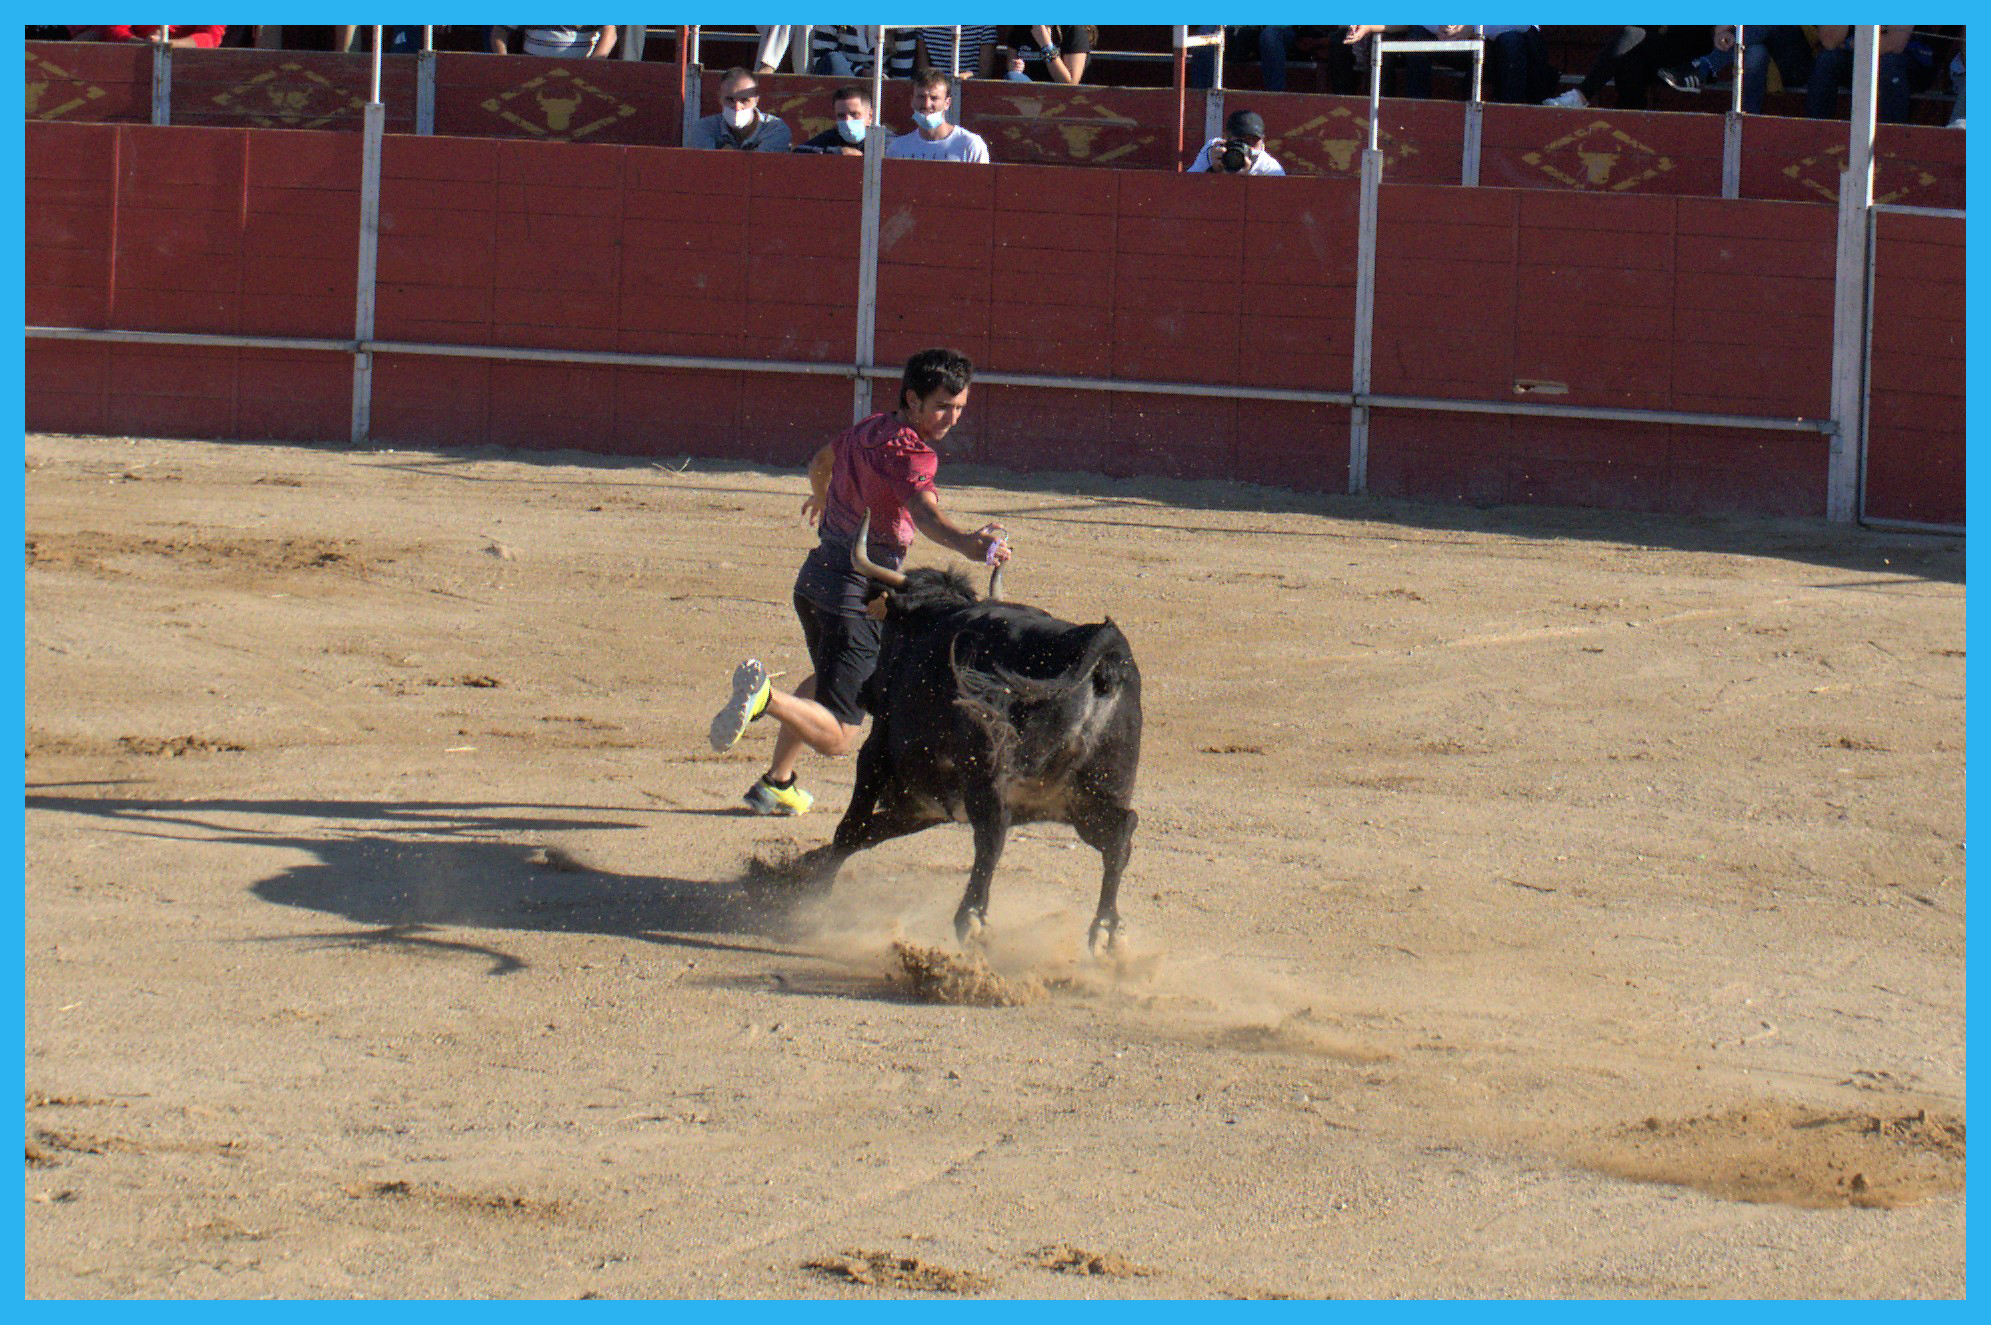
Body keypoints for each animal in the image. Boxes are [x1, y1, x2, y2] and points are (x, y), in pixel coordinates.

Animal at [805, 514, 1143, 955]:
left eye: (891, 629)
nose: (866, 692)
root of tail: (1102, 647)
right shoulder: (927, 803)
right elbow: (871, 832)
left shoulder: (877, 755)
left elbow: (852, 828)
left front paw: (813, 901)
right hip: (1095, 792)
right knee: (1119, 835)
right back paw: (1106, 930)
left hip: (989, 772)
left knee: (993, 832)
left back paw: (972, 918)